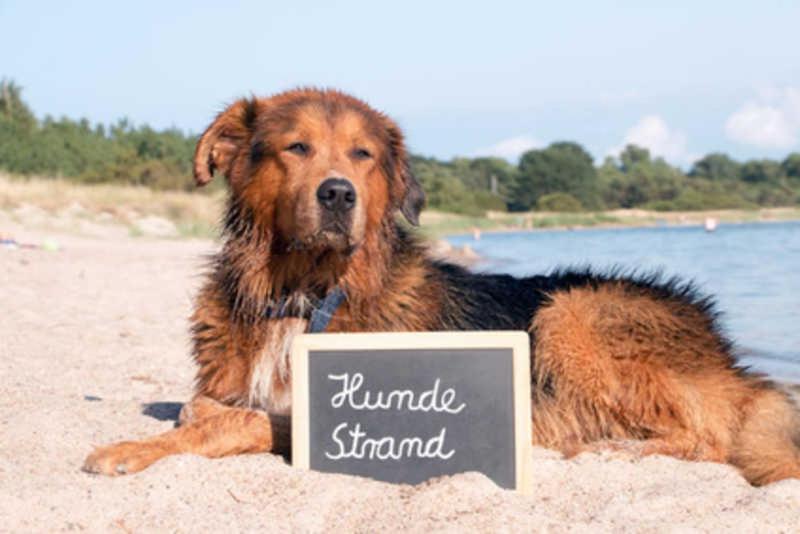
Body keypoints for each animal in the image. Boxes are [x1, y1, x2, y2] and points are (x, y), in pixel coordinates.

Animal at [84, 90, 800, 488]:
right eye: (296, 148)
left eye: (363, 155)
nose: (338, 193)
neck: (302, 290)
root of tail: (728, 353)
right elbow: (205, 408)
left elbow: (229, 423)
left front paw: (131, 448)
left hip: (572, 311)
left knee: (707, 436)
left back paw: (617, 447)